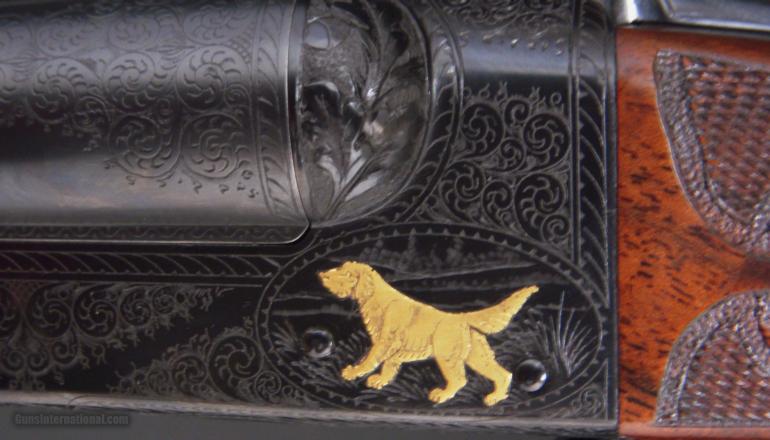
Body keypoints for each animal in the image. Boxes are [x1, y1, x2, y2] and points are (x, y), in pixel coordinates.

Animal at [318, 261, 539, 406]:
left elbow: (370, 359)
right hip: (477, 356)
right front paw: (381, 380)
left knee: (460, 379)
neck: (375, 299)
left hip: (446, 356)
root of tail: (462, 318)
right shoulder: (393, 348)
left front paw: (352, 372)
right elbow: (389, 366)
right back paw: (495, 398)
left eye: (346, 273)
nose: (323, 275)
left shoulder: (384, 342)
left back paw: (442, 395)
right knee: (503, 374)